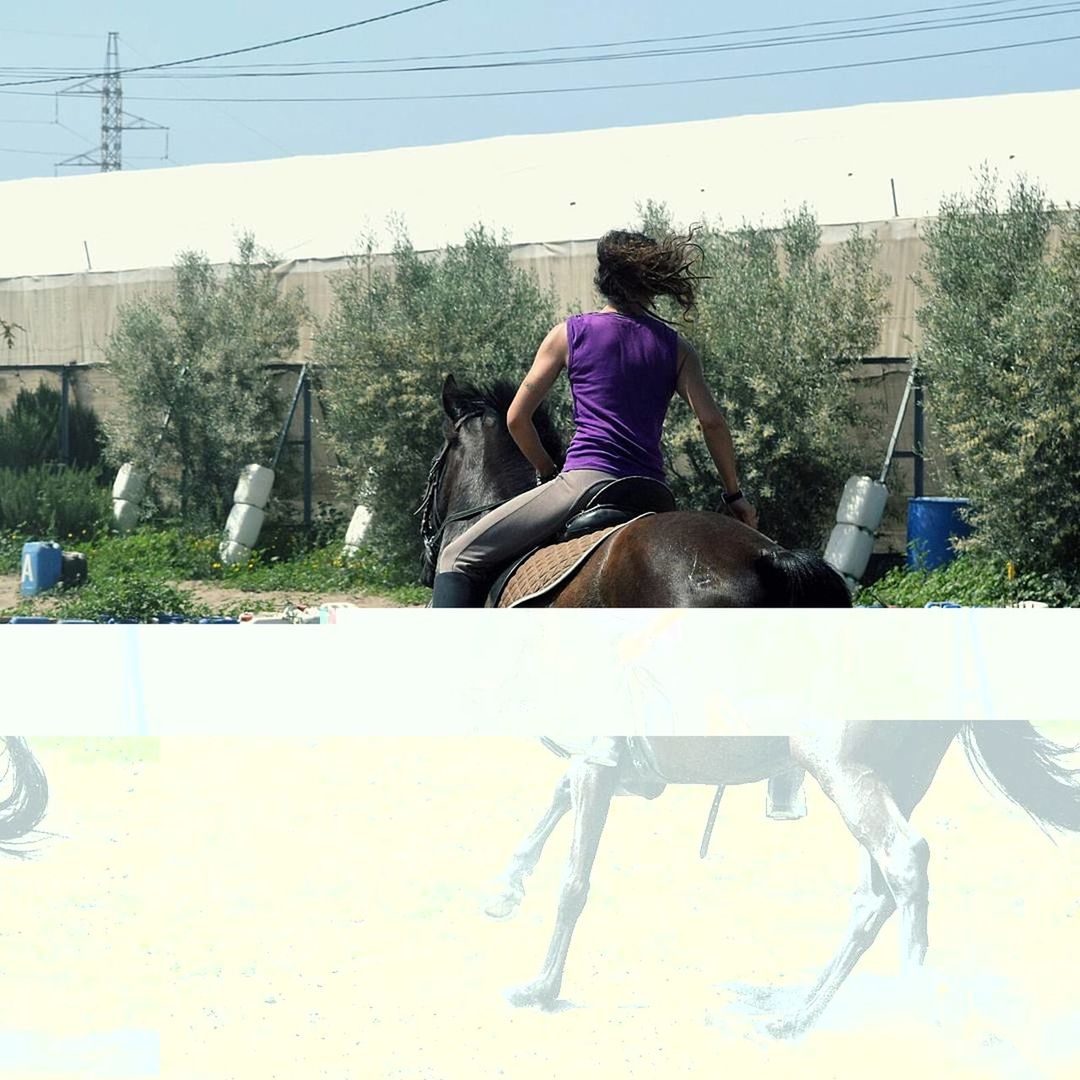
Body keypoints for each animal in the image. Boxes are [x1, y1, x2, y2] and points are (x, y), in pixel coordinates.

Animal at [488, 725, 1080, 1036]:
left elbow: (574, 882)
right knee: (875, 898)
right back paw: (799, 1013)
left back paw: (904, 1007)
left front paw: (541, 987)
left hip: (847, 776)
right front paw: (504, 890)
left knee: (905, 863)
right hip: (892, 782)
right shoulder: (622, 770)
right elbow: (558, 797)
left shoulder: (598, 760)